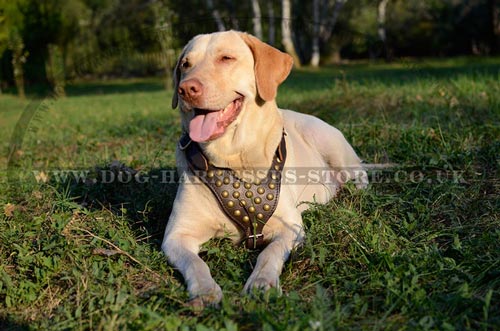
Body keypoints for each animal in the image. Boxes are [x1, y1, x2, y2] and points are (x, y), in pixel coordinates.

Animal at [161, 31, 368, 308]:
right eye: (185, 65)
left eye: (226, 58)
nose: (186, 89)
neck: (233, 159)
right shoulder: (176, 235)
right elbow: (195, 262)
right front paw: (205, 290)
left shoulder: (290, 228)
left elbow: (269, 253)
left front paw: (262, 282)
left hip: (330, 143)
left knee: (360, 174)